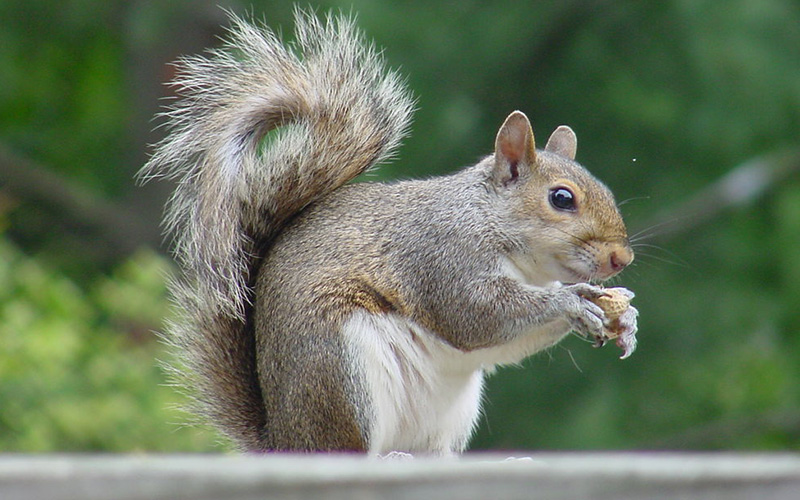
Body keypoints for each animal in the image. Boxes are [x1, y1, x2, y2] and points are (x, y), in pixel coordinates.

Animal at [140, 10, 638, 455]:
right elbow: (476, 315)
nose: (622, 259)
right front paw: (570, 301)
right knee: (349, 450)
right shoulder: (440, 255)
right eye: (562, 198)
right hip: (344, 371)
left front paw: (623, 318)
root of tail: (284, 441)